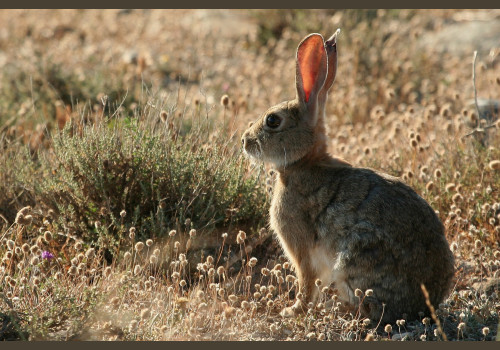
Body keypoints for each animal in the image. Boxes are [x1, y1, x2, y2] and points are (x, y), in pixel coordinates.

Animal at [240, 31, 456, 324]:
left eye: (273, 121)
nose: (245, 141)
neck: (304, 163)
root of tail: (424, 303)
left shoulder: (301, 247)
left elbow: (306, 282)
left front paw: (292, 311)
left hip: (356, 258)